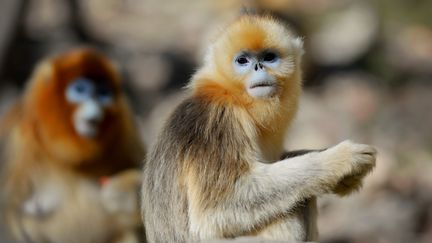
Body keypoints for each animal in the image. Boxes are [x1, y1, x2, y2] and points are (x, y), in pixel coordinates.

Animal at [0, 48, 145, 243]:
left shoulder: (125, 123)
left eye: (103, 93)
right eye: (80, 90)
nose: (95, 104)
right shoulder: (16, 137)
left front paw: (126, 194)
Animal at [141, 15, 374, 243]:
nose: (258, 67)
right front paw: (341, 159)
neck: (233, 96)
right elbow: (215, 210)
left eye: (269, 57)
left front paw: (346, 178)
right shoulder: (220, 119)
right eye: (242, 61)